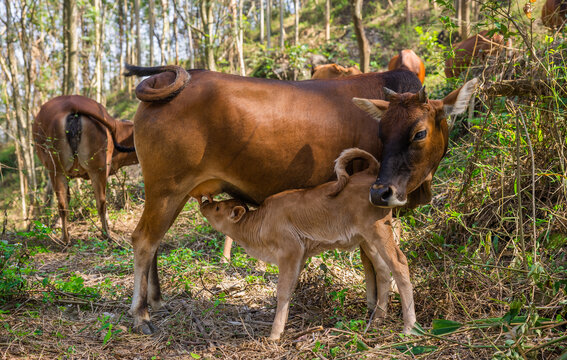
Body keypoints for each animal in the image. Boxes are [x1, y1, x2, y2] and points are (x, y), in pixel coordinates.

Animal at [33, 95, 138, 243]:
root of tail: (72, 105)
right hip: (93, 169)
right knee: (99, 202)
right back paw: (105, 234)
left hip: (59, 170)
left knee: (66, 205)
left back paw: (67, 238)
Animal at [202, 148, 414, 340]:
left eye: (218, 208)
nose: (204, 203)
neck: (261, 221)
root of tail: (370, 173)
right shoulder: (300, 256)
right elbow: (290, 289)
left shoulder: (290, 251)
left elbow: (282, 291)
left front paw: (274, 335)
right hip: (367, 239)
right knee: (382, 269)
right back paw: (378, 317)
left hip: (379, 232)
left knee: (399, 263)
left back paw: (409, 328)